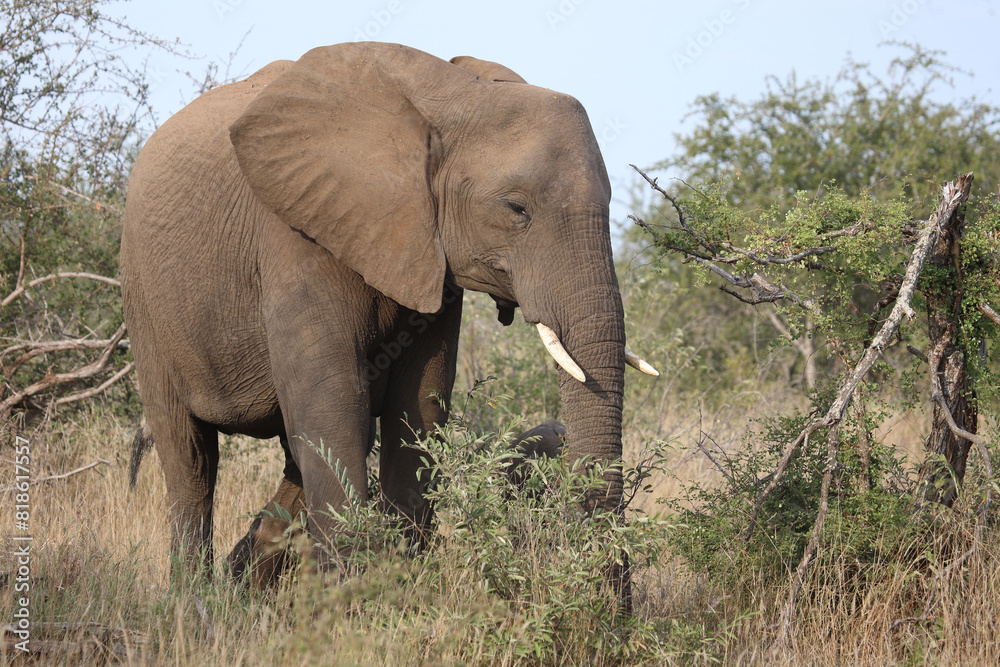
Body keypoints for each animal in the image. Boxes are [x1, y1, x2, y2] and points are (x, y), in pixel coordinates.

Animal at [121, 44, 656, 604]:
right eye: (517, 208)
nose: (613, 607)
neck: (449, 95)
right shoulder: (296, 229)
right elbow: (332, 402)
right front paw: (346, 601)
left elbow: (418, 402)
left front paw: (396, 591)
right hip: (146, 300)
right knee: (191, 458)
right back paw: (195, 600)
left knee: (288, 456)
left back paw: (246, 578)